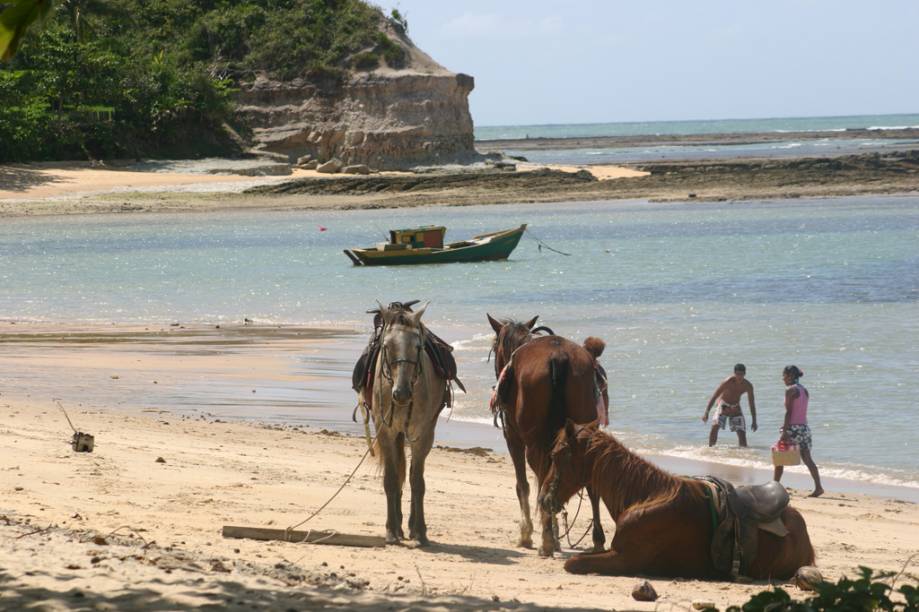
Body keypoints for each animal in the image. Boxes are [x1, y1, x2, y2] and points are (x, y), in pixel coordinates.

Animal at [488, 314, 612, 556]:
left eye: (495, 346)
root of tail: (558, 358)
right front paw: (555, 535)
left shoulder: (513, 439)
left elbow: (524, 485)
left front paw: (527, 533)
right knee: (590, 485)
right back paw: (596, 539)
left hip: (534, 443)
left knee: (541, 478)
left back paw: (546, 540)